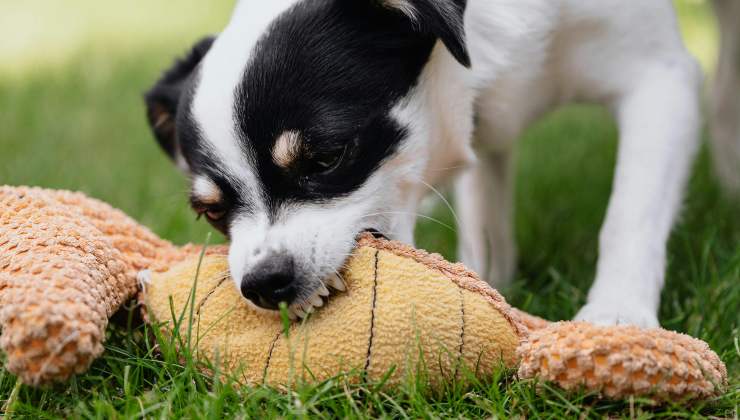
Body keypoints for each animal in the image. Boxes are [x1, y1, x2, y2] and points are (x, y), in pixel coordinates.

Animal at [145, 0, 740, 326]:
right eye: (211, 213)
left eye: (327, 157)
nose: (263, 282)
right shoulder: (480, 125)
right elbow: (485, 215)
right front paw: (488, 283)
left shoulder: (660, 77)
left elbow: (630, 215)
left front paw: (619, 313)